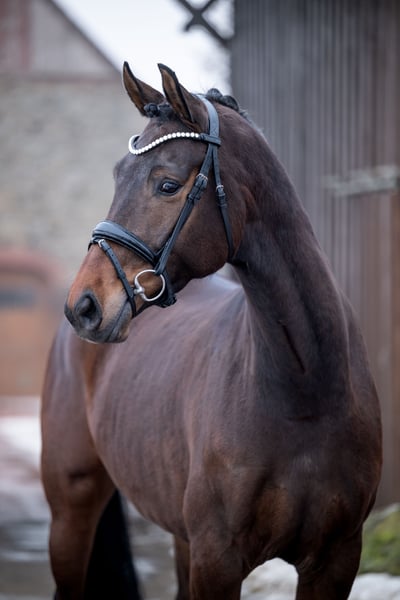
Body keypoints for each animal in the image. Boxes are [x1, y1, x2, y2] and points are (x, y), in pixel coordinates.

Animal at [41, 62, 382, 599]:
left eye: (167, 184)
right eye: (117, 175)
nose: (85, 306)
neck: (306, 389)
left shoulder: (336, 558)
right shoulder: (217, 559)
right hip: (71, 510)